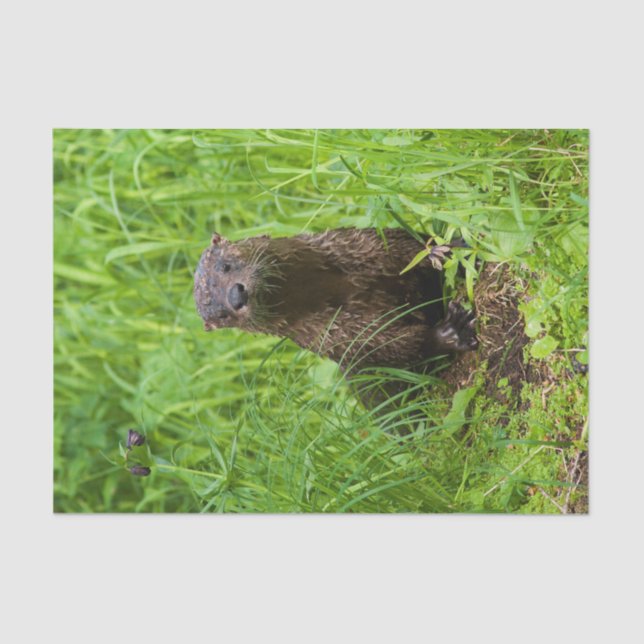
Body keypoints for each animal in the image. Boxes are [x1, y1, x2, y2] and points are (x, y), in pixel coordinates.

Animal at [194, 228, 477, 376]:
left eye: (225, 266)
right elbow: (391, 347)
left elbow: (402, 244)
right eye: (221, 314)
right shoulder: (336, 336)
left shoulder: (358, 244)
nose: (235, 296)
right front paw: (451, 333)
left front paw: (441, 251)